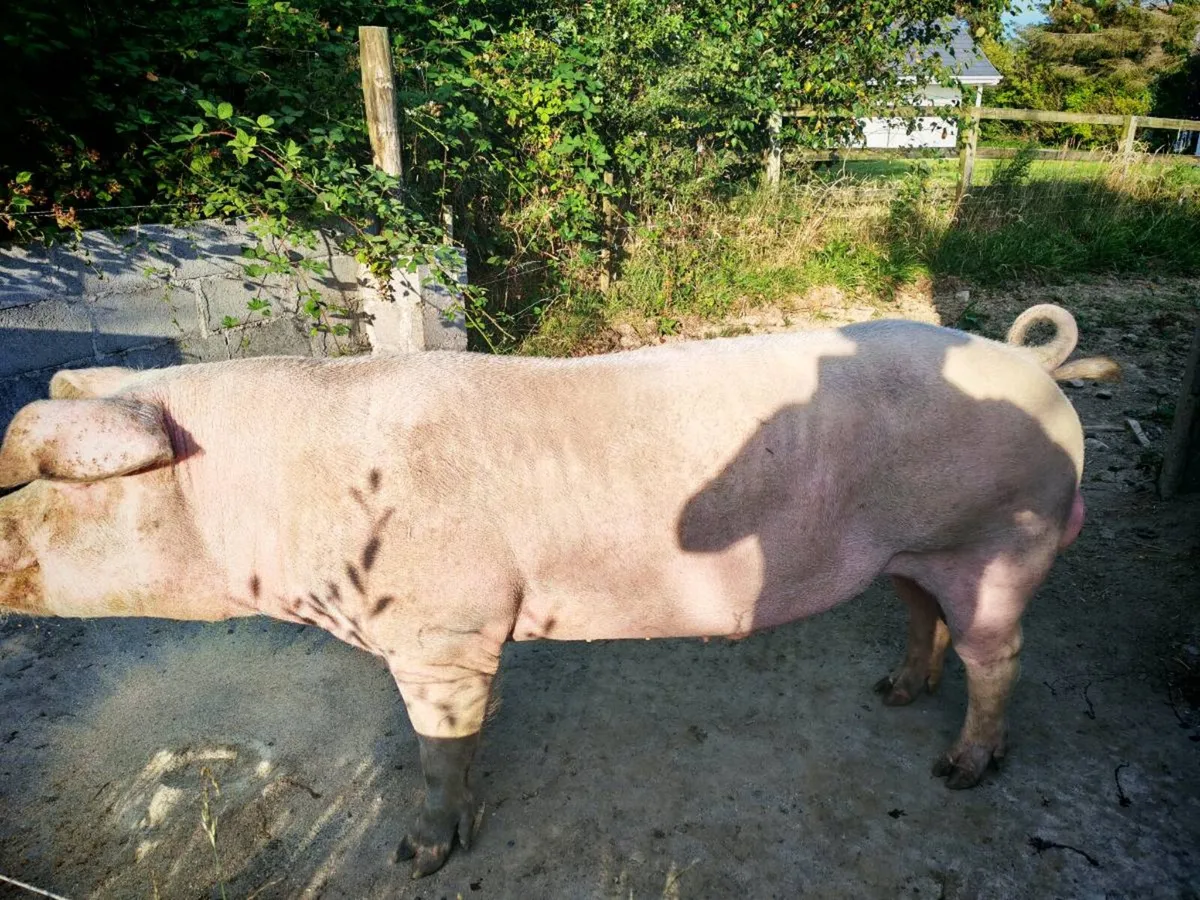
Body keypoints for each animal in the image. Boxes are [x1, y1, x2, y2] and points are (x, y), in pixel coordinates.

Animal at [0, 303, 1118, 877]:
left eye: (28, 483)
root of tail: (1029, 361)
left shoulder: (446, 627)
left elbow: (439, 748)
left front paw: (416, 856)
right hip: (916, 551)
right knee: (924, 618)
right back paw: (891, 695)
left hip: (999, 539)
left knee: (999, 654)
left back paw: (958, 771)